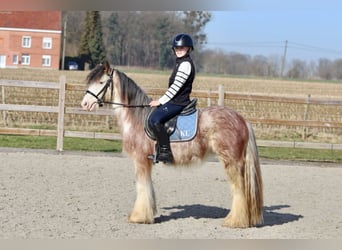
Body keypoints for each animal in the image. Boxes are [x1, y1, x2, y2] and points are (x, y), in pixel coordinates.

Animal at [81, 61, 264, 229]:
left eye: (101, 82)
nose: (84, 104)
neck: (137, 118)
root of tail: (242, 119)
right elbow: (148, 187)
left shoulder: (141, 159)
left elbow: (142, 187)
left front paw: (139, 217)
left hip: (231, 161)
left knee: (239, 190)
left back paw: (235, 221)